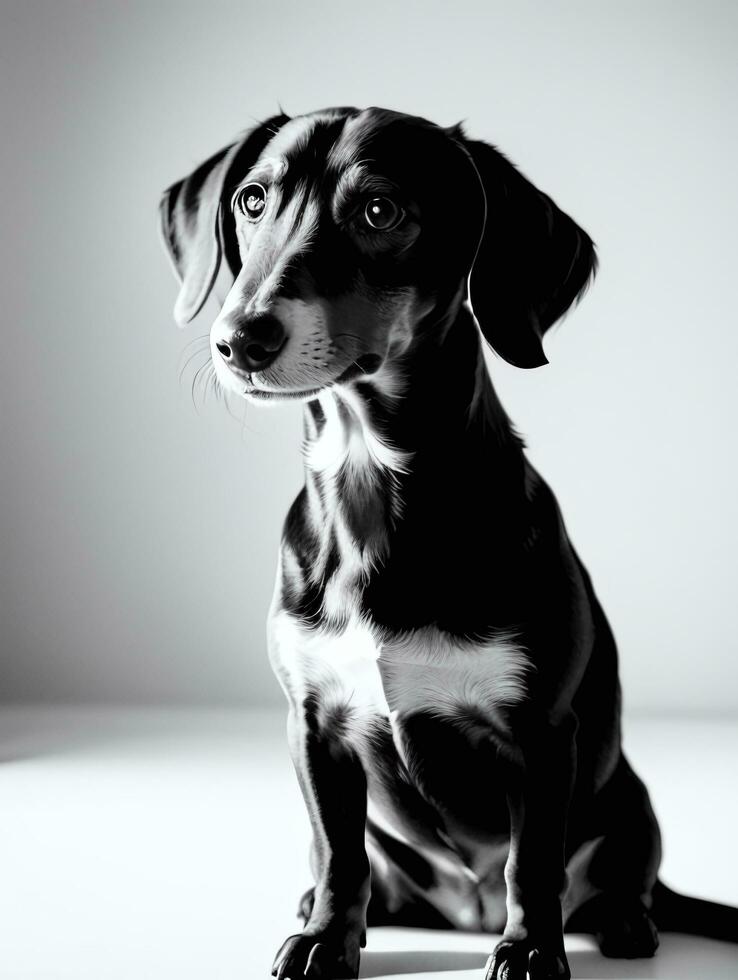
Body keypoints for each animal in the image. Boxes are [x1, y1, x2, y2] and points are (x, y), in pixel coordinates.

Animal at [158, 107, 732, 980]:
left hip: (627, 801)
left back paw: (625, 920)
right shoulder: (314, 726)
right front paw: (327, 937)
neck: (371, 498)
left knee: (619, 872)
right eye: (253, 200)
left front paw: (531, 951)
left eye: (381, 211)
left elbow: (533, 861)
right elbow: (339, 853)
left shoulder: (541, 734)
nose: (241, 339)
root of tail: (467, 911)